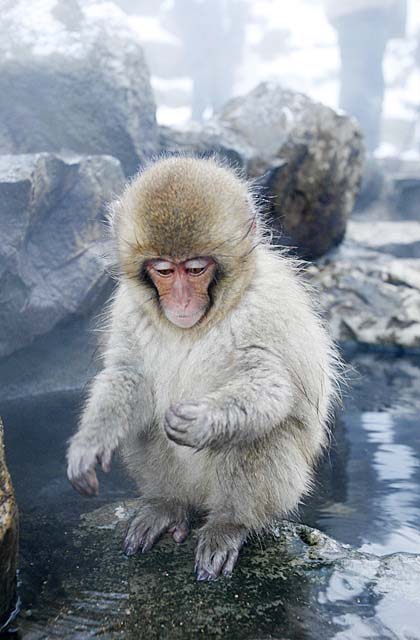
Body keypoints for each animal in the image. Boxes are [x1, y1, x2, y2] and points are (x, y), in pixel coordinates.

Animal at [66, 155, 342, 580]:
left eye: (195, 269)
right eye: (165, 271)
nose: (180, 301)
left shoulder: (264, 307)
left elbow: (270, 385)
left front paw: (201, 420)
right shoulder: (128, 304)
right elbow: (129, 375)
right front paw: (90, 442)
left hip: (282, 487)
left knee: (261, 436)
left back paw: (229, 524)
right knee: (146, 424)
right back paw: (167, 506)